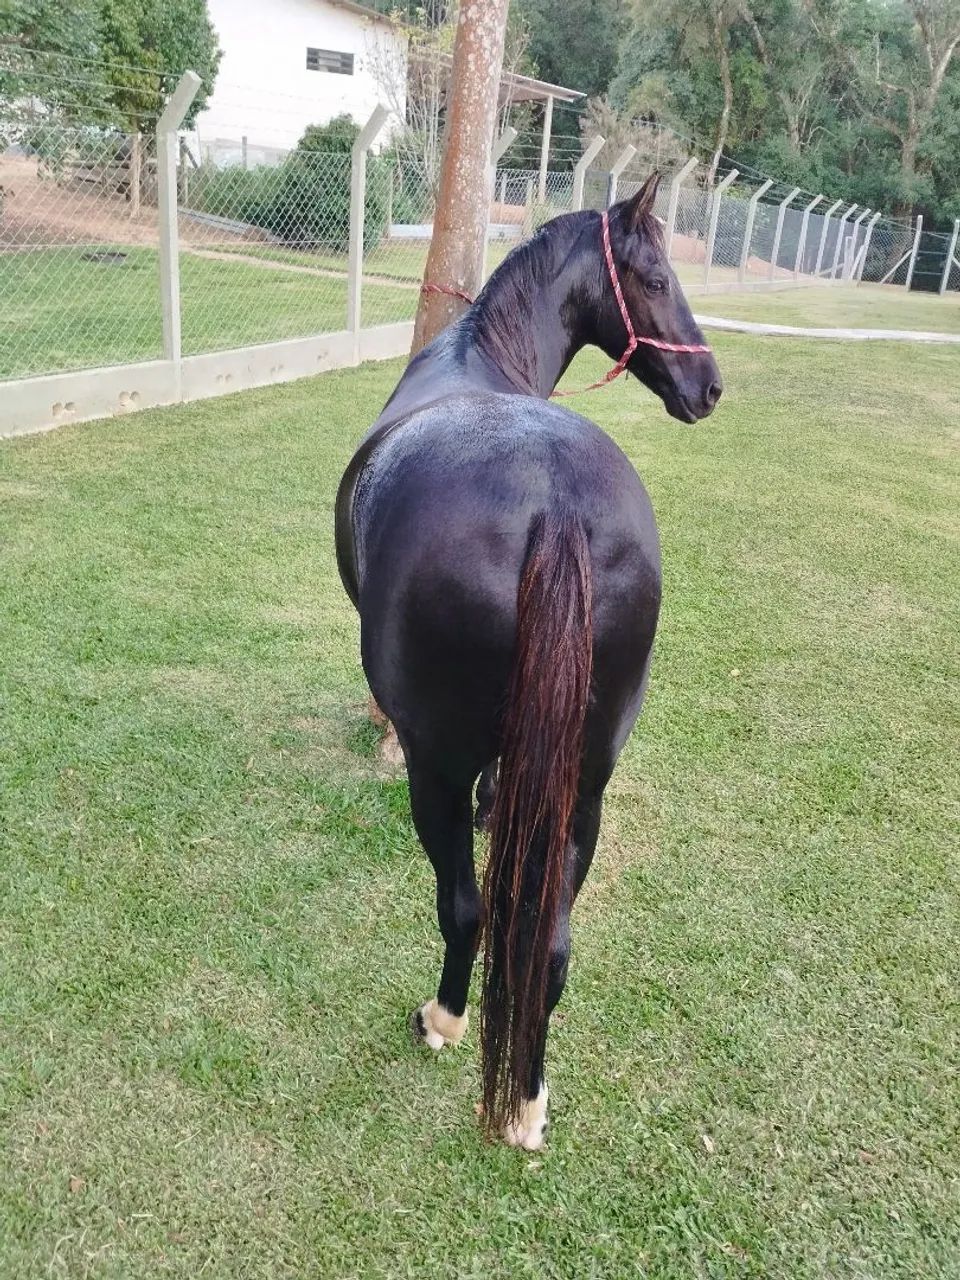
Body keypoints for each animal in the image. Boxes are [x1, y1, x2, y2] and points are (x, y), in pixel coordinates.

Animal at [334, 173, 722, 1150]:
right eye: (654, 277)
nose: (709, 385)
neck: (479, 359)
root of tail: (554, 505)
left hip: (435, 766)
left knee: (467, 910)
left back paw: (444, 1019)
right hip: (586, 779)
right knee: (548, 941)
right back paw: (529, 1102)